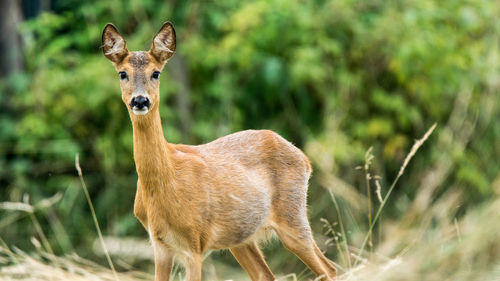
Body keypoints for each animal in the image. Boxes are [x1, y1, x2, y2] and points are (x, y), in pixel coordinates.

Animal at [100, 21, 338, 280]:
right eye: (122, 73)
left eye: (156, 73)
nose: (140, 101)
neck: (164, 186)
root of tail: (304, 158)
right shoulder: (159, 244)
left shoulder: (194, 242)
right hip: (242, 238)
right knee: (267, 274)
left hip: (292, 217)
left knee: (329, 269)